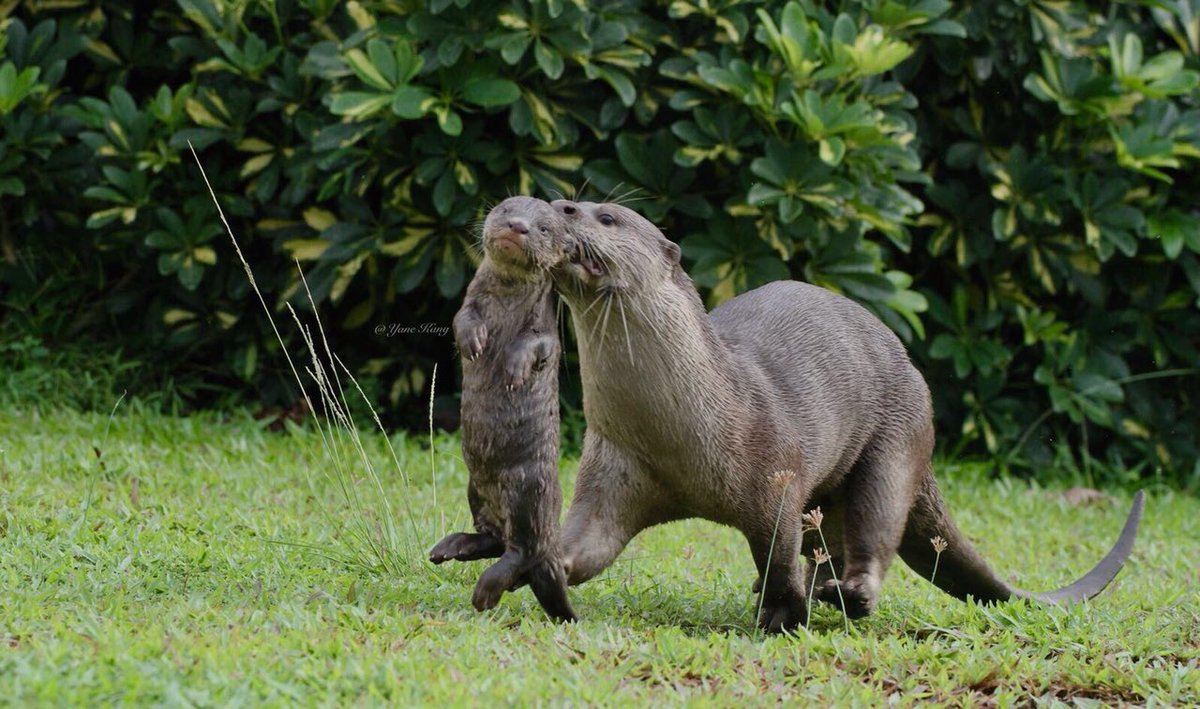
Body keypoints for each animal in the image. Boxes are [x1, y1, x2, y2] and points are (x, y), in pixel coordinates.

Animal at [427, 196, 576, 623]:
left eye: (544, 227)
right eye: (508, 208)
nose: (518, 226)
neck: (507, 299)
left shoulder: (546, 330)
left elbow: (534, 344)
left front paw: (512, 367)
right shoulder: (470, 300)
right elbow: (461, 318)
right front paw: (474, 340)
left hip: (527, 489)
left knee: (522, 551)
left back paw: (486, 590)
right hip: (475, 488)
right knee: (495, 539)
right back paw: (451, 547)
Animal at [547, 198, 1143, 633]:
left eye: (607, 216)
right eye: (575, 201)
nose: (559, 205)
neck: (682, 436)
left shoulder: (775, 475)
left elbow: (776, 550)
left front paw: (782, 615)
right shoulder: (615, 467)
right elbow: (591, 542)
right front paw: (543, 566)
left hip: (896, 438)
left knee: (875, 526)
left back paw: (850, 595)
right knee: (826, 541)